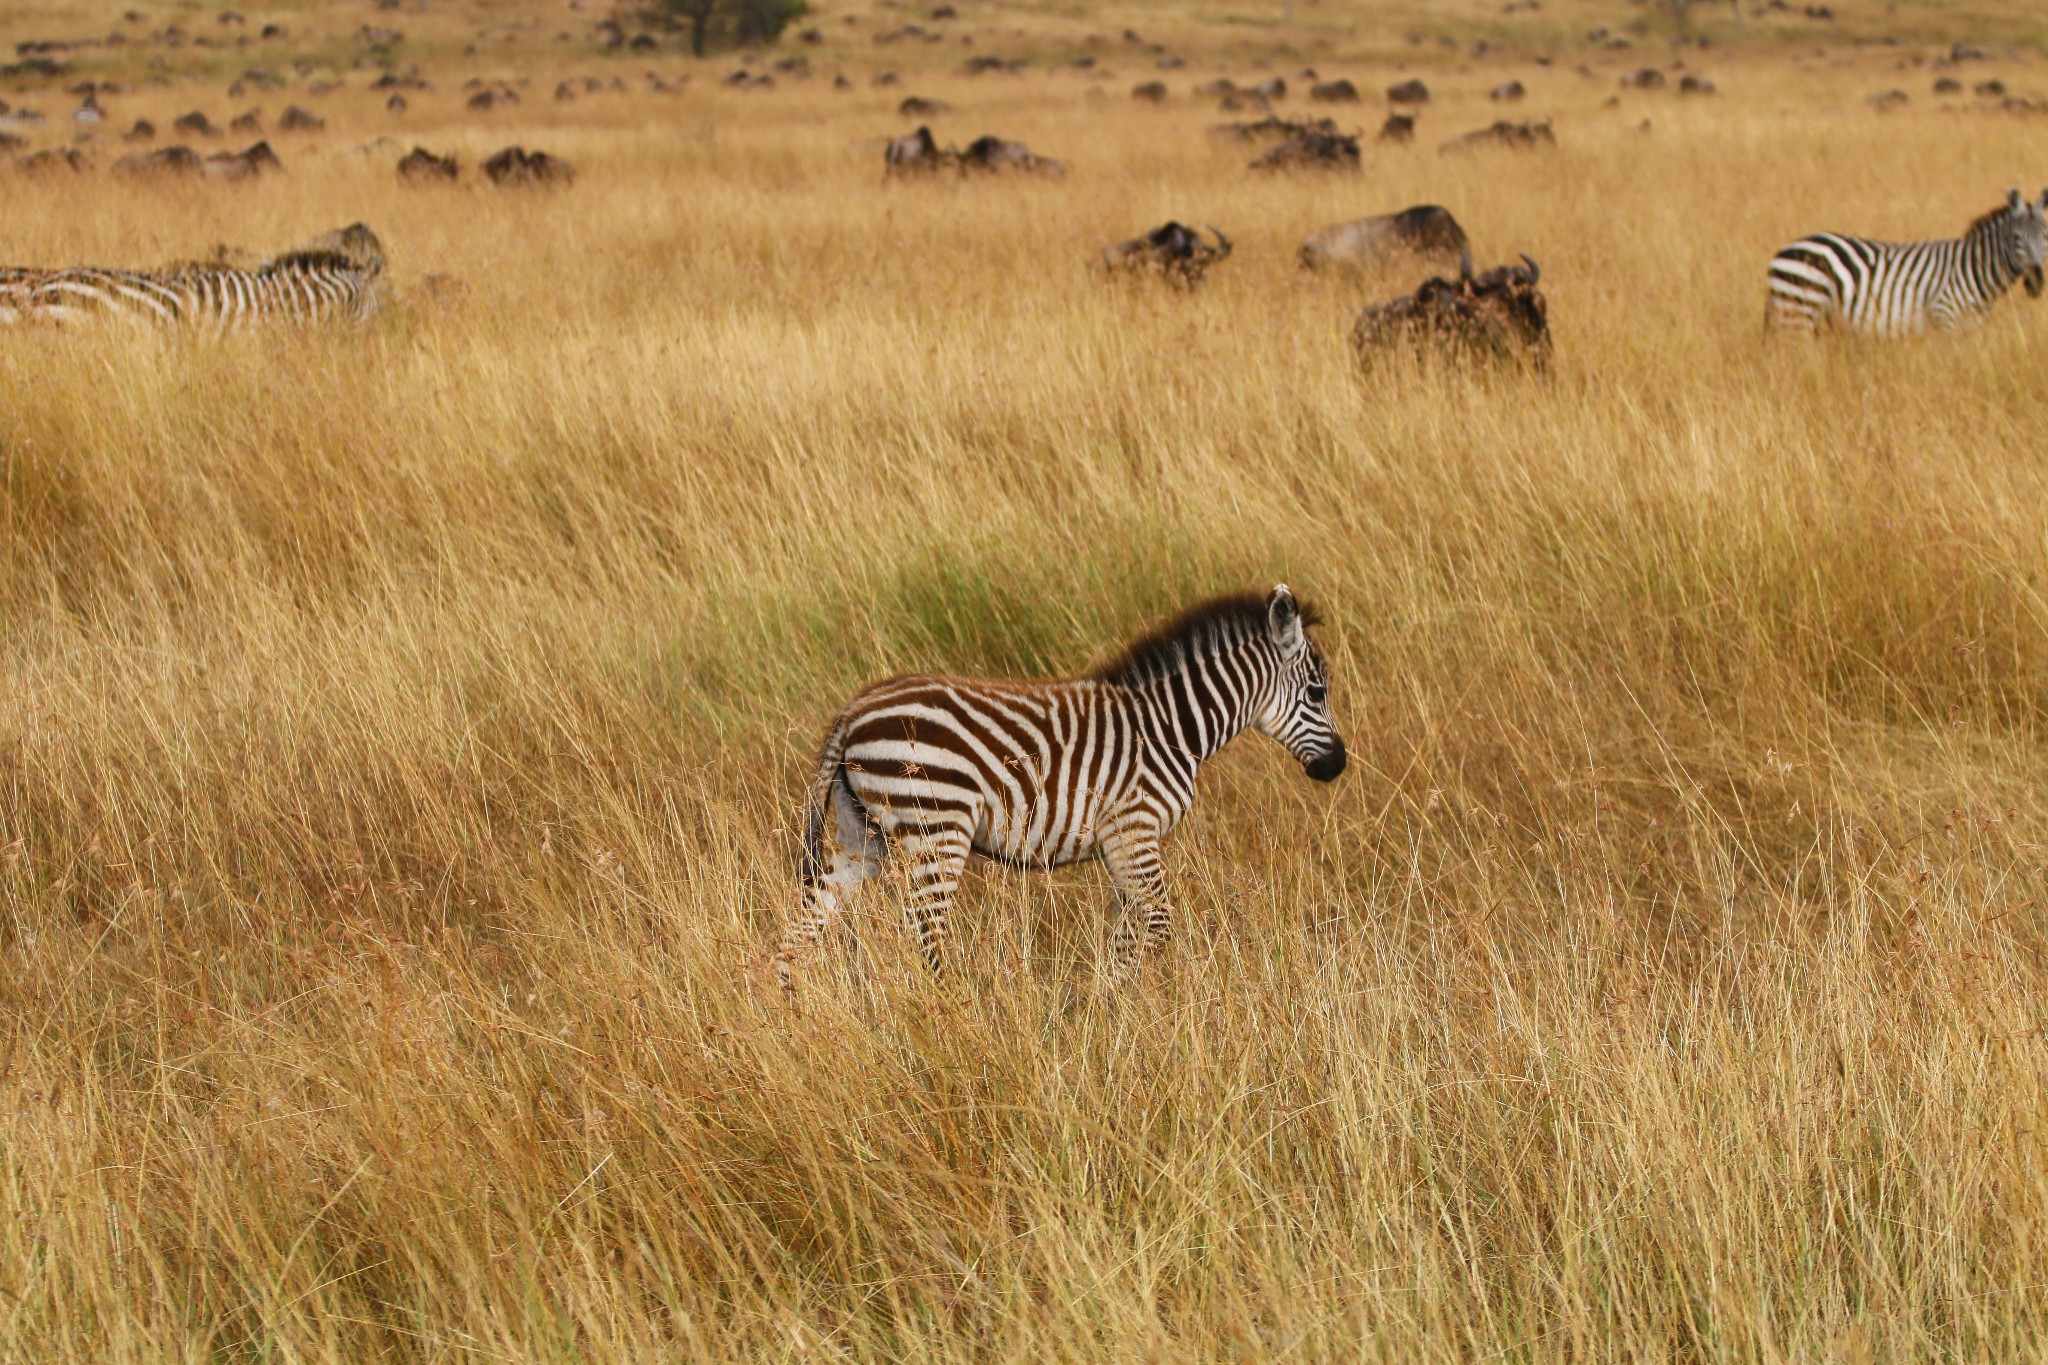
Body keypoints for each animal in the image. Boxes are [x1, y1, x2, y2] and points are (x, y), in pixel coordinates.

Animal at [774, 589, 1351, 994]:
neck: (1170, 728)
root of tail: (852, 712)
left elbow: (1128, 932)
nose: (1337, 766)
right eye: (1317, 692)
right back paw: (953, 1018)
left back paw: (790, 1019)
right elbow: (1157, 925)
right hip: (937, 830)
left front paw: (1101, 1004)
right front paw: (1114, 1005)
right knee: (925, 937)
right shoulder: (1134, 830)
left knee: (803, 925)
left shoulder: (1121, 845)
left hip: (862, 835)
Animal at [1761, 188, 2048, 337]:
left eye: (2046, 235)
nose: (2037, 281)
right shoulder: (1945, 320)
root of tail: (1781, 251)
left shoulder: (1970, 329)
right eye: (2016, 238)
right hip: (1798, 311)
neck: (1973, 270)